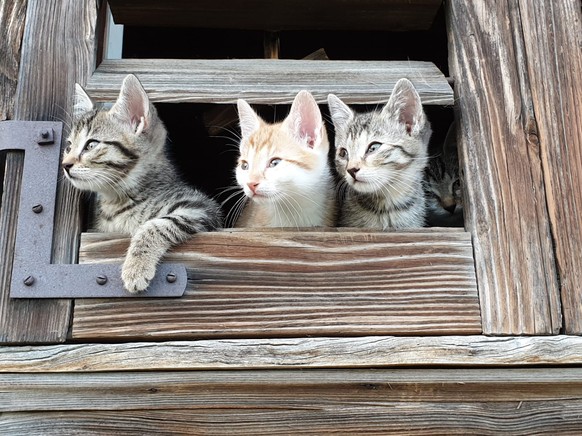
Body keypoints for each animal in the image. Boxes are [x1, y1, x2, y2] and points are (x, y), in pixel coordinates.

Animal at [62, 74, 224, 292]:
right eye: (68, 146)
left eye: (91, 145)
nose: (65, 164)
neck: (116, 201)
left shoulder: (200, 207)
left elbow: (155, 225)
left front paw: (135, 267)